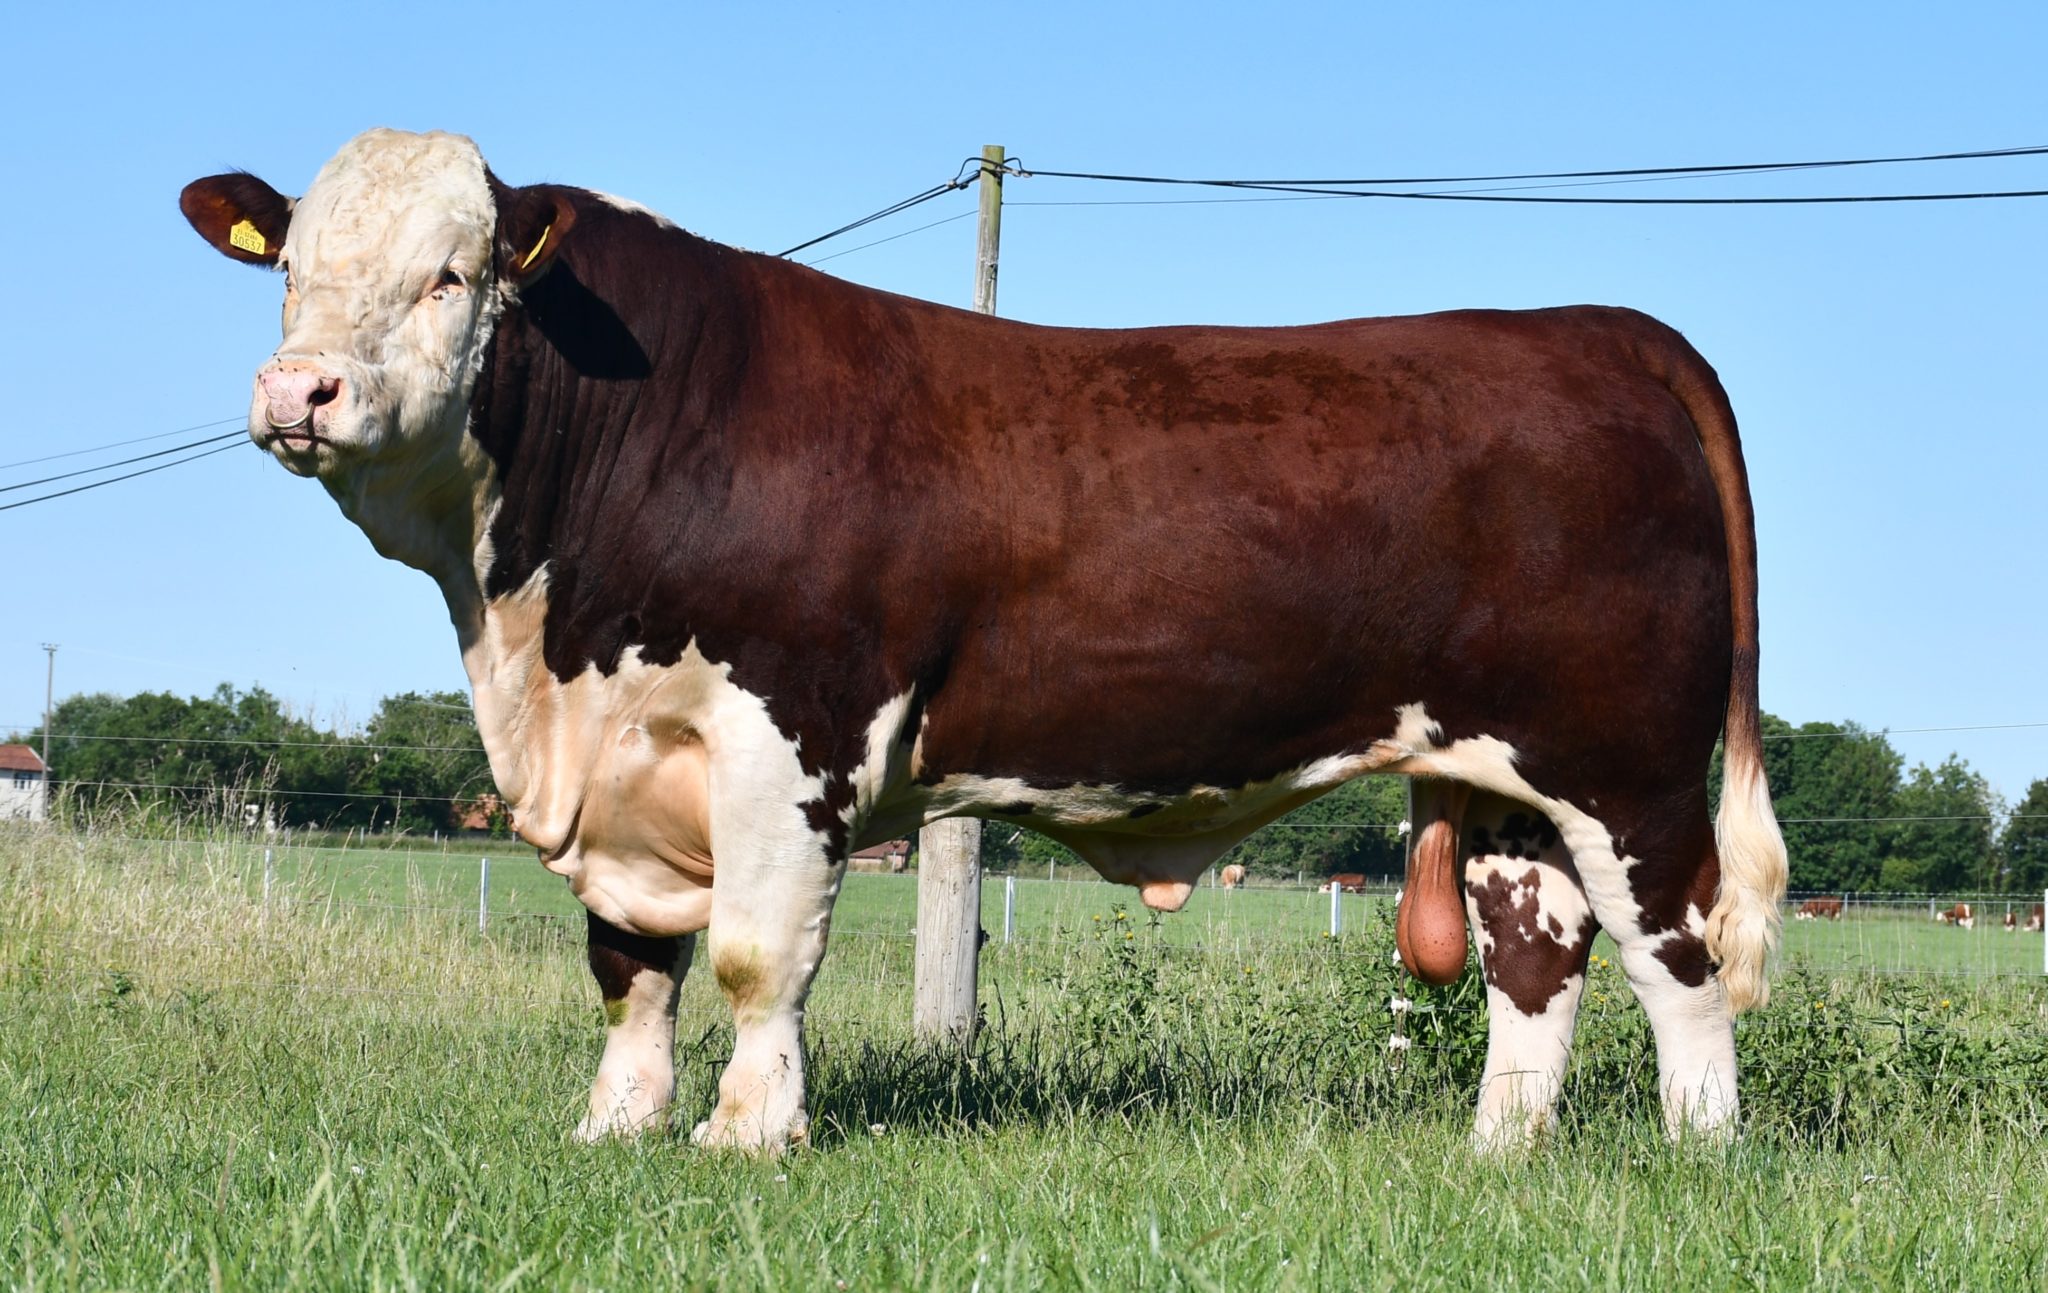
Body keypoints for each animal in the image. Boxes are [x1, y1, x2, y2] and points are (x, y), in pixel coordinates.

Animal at [179, 128, 1786, 1153]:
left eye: (452, 275)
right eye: (290, 268)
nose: (298, 390)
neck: (539, 638)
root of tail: (1595, 327)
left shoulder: (791, 728)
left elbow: (757, 958)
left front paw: (746, 1137)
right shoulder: (629, 758)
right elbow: (630, 966)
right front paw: (614, 1130)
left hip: (1626, 765)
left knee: (1681, 953)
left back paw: (1699, 1152)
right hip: (1508, 778)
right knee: (1537, 958)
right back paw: (1497, 1157)